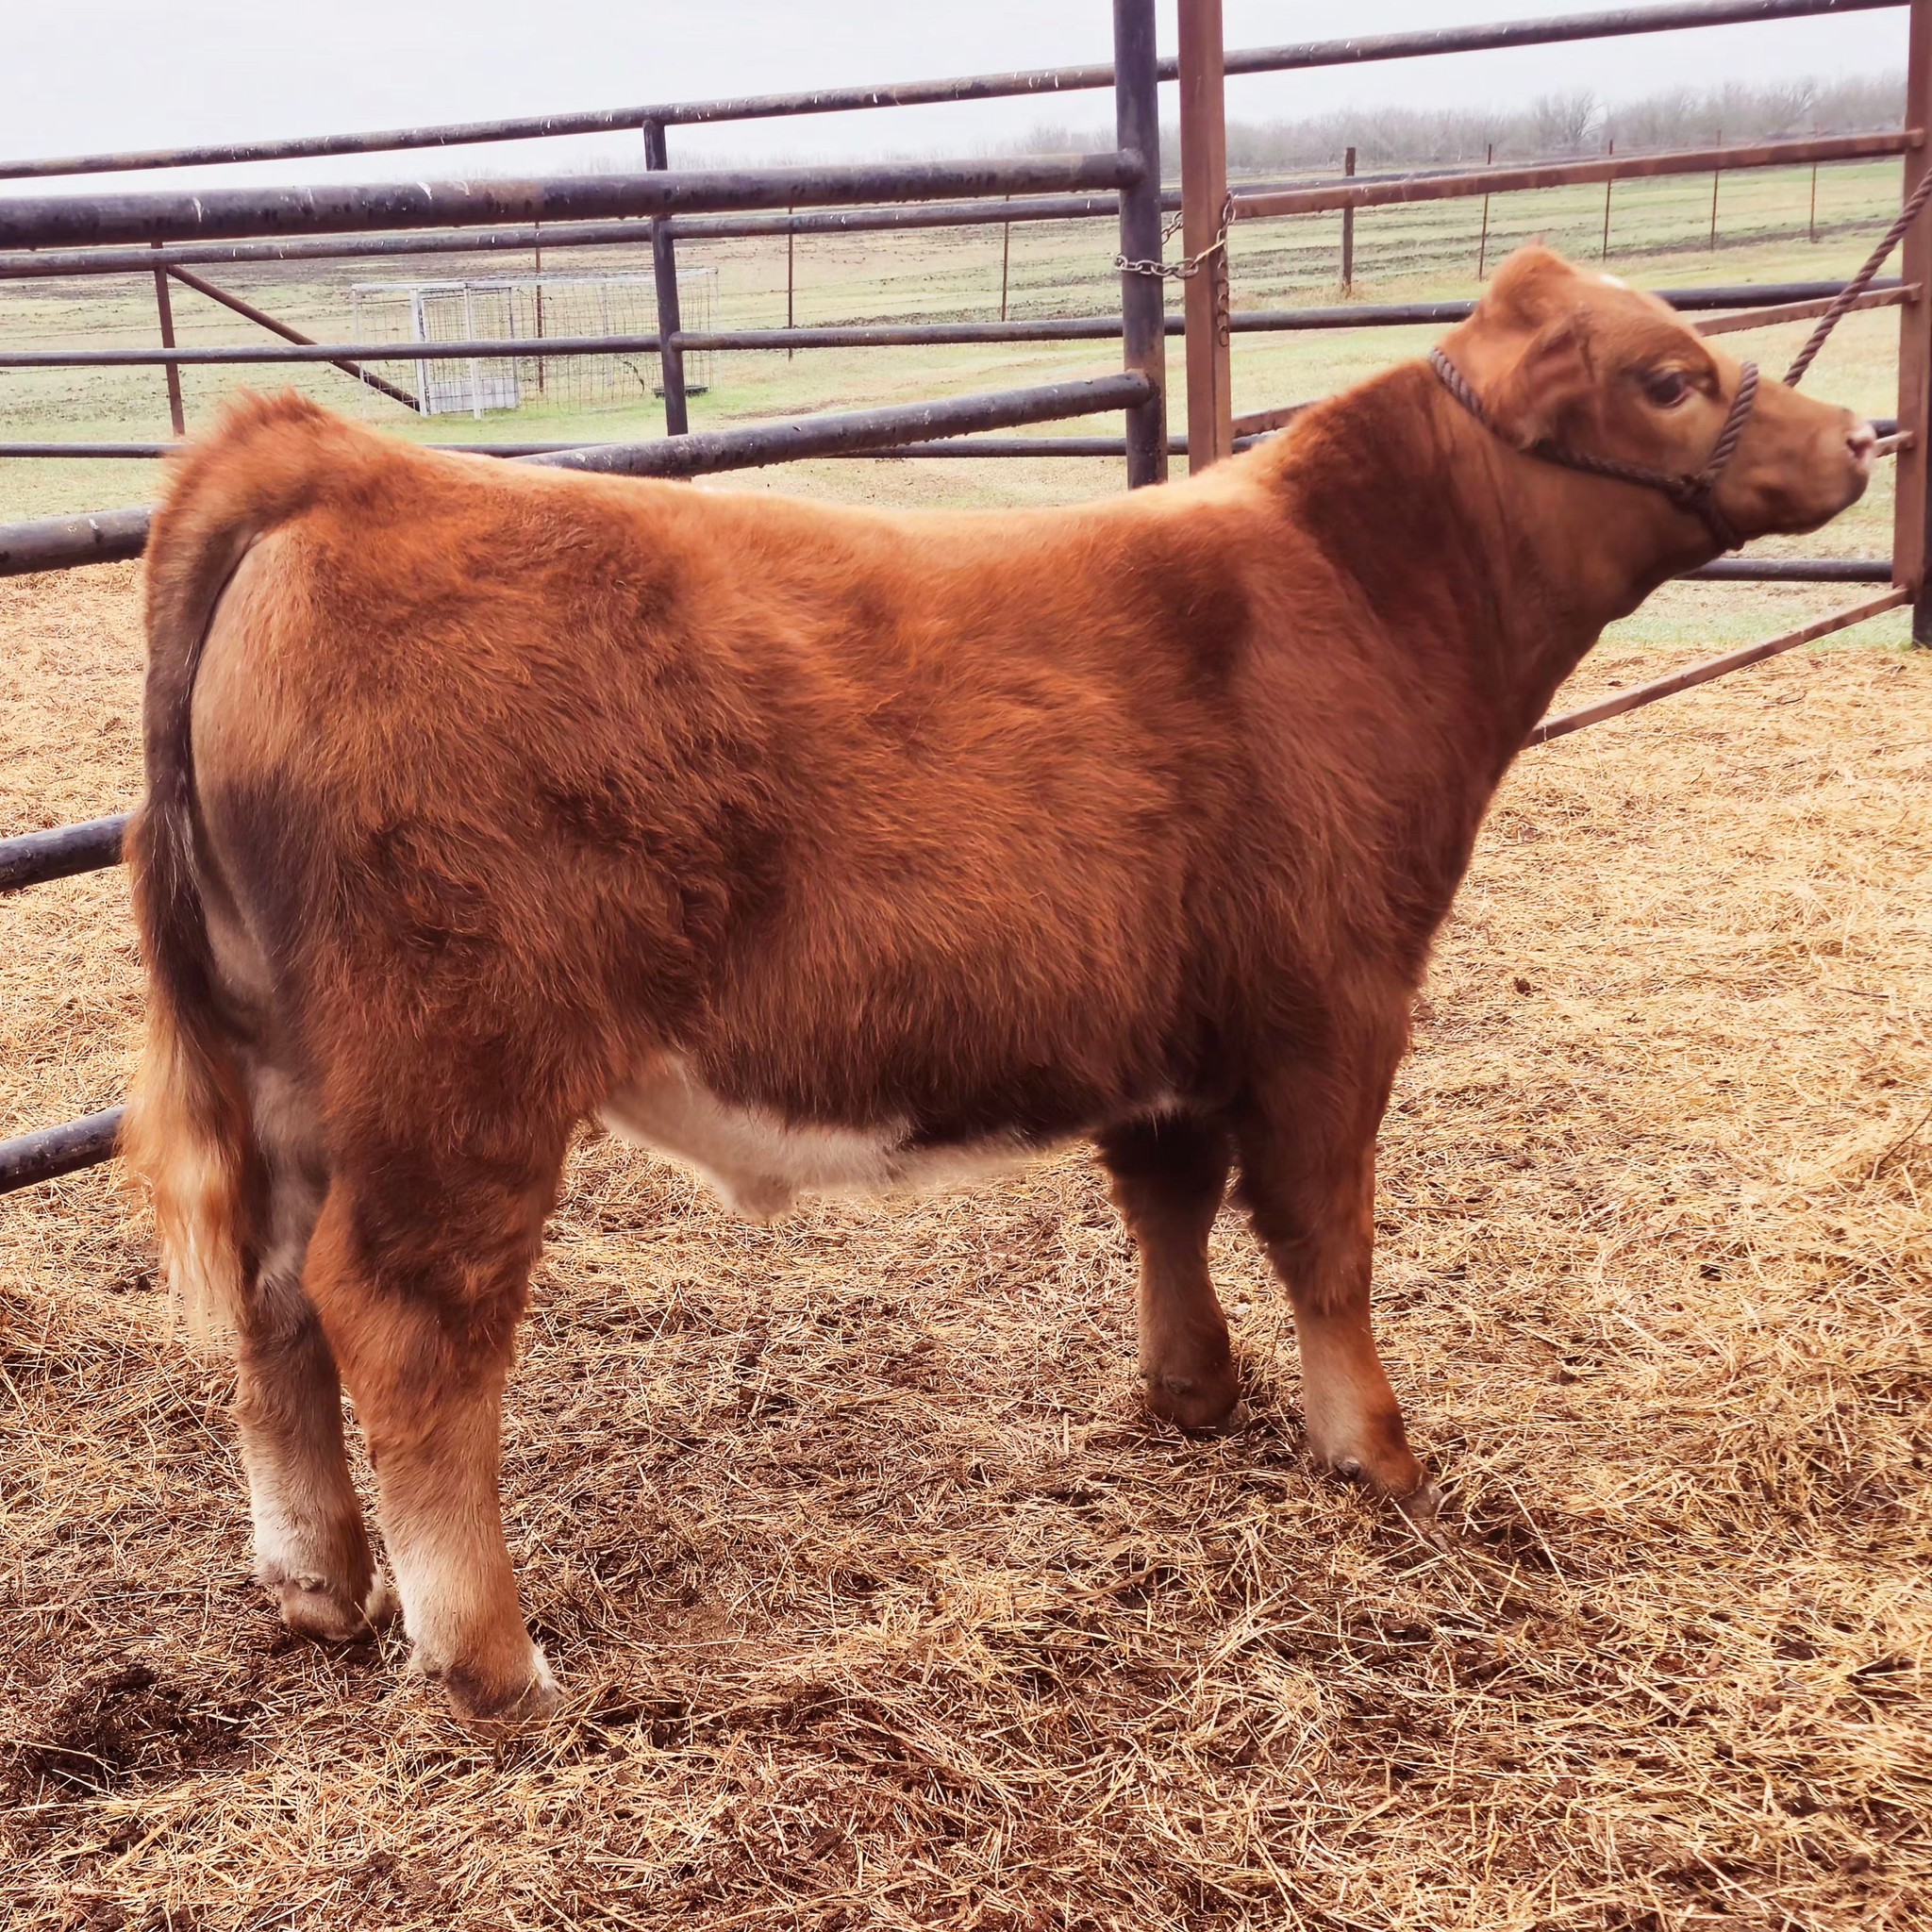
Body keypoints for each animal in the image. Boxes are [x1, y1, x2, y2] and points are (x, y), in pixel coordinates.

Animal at [122, 247, 1874, 1726]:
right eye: (1667, 378)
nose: (1857, 430)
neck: (1354, 592)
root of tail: (335, 466)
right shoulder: (1335, 1004)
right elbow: (1326, 1236)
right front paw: (1372, 1451)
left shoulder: (1170, 1017)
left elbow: (1166, 1196)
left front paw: (1192, 1391)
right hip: (458, 1074)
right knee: (406, 1315)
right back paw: (493, 1659)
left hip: (290, 1069)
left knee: (273, 1292)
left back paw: (316, 1585)